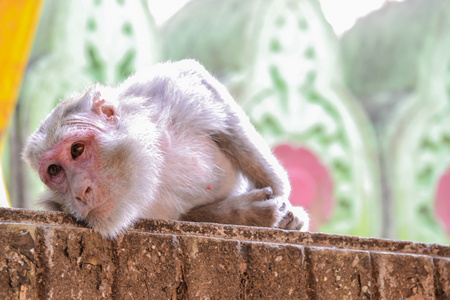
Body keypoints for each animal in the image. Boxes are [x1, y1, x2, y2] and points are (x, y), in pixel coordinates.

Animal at [22, 59, 310, 237]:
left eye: (77, 150)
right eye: (55, 170)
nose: (80, 192)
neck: (154, 163)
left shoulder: (164, 92)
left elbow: (200, 82)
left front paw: (284, 201)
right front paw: (248, 213)